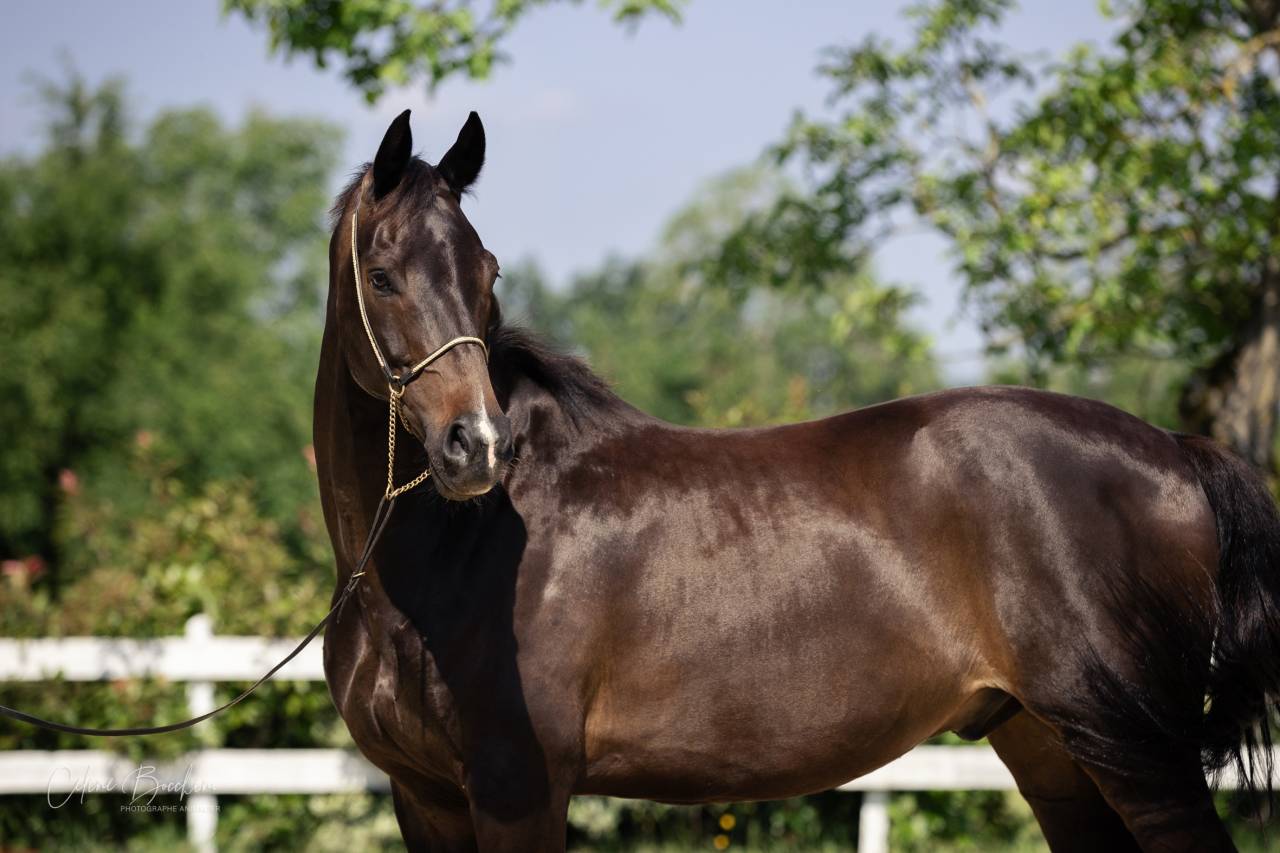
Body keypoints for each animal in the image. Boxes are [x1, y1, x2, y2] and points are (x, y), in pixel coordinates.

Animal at [314, 110, 1280, 852]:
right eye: (383, 275)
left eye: (487, 273)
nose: (475, 445)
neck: (446, 565)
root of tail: (1174, 449)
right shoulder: (427, 799)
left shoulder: (521, 789)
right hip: (1053, 752)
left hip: (1138, 754)